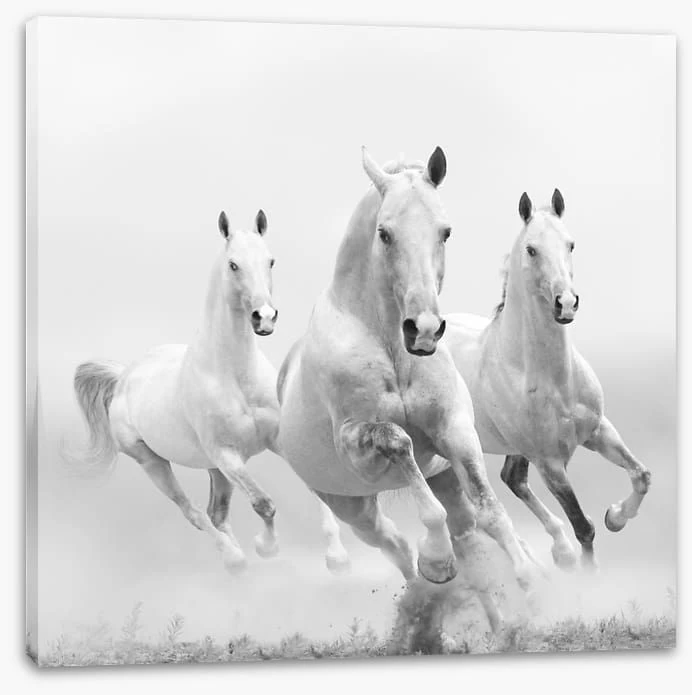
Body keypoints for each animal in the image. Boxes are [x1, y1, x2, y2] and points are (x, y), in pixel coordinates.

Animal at [71, 208, 349, 574]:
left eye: (271, 260)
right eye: (233, 264)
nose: (265, 317)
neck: (236, 377)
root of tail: (124, 377)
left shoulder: (275, 442)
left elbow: (316, 488)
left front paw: (336, 557)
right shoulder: (226, 454)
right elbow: (263, 503)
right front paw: (267, 547)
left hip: (214, 469)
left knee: (216, 512)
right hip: (154, 463)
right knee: (193, 512)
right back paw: (234, 558)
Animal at [276, 147, 536, 614]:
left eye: (445, 231)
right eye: (384, 233)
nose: (425, 330)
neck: (392, 350)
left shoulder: (455, 431)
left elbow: (490, 511)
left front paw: (529, 580)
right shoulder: (356, 443)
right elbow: (399, 443)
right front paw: (437, 561)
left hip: (444, 479)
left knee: (467, 536)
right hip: (351, 507)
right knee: (394, 543)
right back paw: (425, 589)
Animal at [444, 190, 652, 570]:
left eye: (570, 244)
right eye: (531, 249)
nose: (565, 304)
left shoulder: (598, 431)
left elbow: (641, 476)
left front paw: (615, 517)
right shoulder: (550, 463)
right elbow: (583, 527)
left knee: (511, 479)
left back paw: (560, 552)